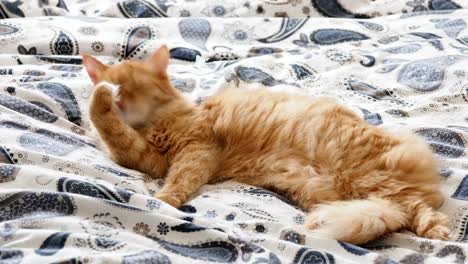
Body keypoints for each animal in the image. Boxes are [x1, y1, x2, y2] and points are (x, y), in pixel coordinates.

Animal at [83, 46, 450, 245]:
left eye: (134, 85)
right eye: (117, 85)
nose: (121, 99)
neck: (154, 125)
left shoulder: (197, 146)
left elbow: (178, 179)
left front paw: (162, 201)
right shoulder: (147, 158)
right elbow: (115, 134)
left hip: (371, 177)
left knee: (418, 208)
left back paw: (440, 233)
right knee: (403, 210)